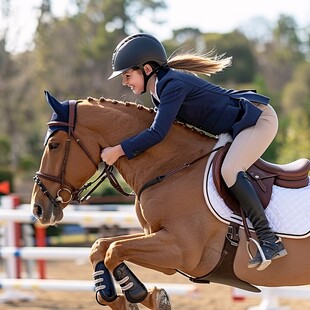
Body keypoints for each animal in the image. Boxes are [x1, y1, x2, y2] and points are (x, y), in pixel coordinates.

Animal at [30, 91, 310, 310]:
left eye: (54, 145)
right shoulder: (157, 238)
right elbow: (101, 246)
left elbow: (114, 250)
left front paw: (141, 295)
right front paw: (121, 296)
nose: (38, 208)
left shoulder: (181, 251)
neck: (171, 167)